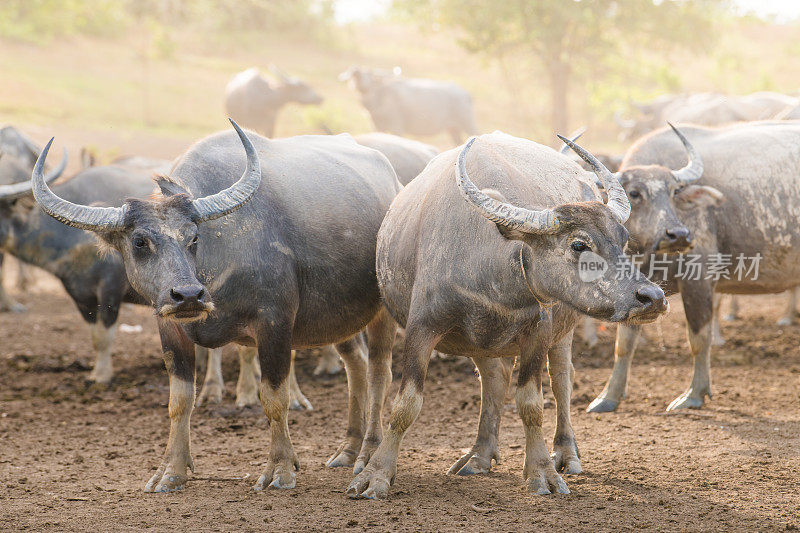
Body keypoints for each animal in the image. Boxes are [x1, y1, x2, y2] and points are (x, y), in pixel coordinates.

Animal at [340, 66, 478, 145]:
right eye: (353, 75)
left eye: (369, 74)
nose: (356, 73)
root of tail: (465, 94)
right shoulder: (376, 126)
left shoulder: (396, 126)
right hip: (453, 129)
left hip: (468, 123)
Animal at [346, 131, 668, 496]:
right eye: (578, 244)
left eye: (623, 239)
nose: (653, 297)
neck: (487, 272)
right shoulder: (420, 329)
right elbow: (405, 405)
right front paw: (375, 474)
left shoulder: (539, 331)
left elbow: (531, 403)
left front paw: (542, 471)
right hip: (480, 340)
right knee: (493, 380)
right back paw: (479, 455)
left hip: (562, 331)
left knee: (562, 380)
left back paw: (566, 453)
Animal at [584, 123, 800, 412]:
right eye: (635, 193)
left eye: (674, 192)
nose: (679, 235)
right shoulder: (636, 291)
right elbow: (624, 344)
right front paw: (608, 397)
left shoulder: (699, 282)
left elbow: (699, 339)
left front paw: (694, 394)